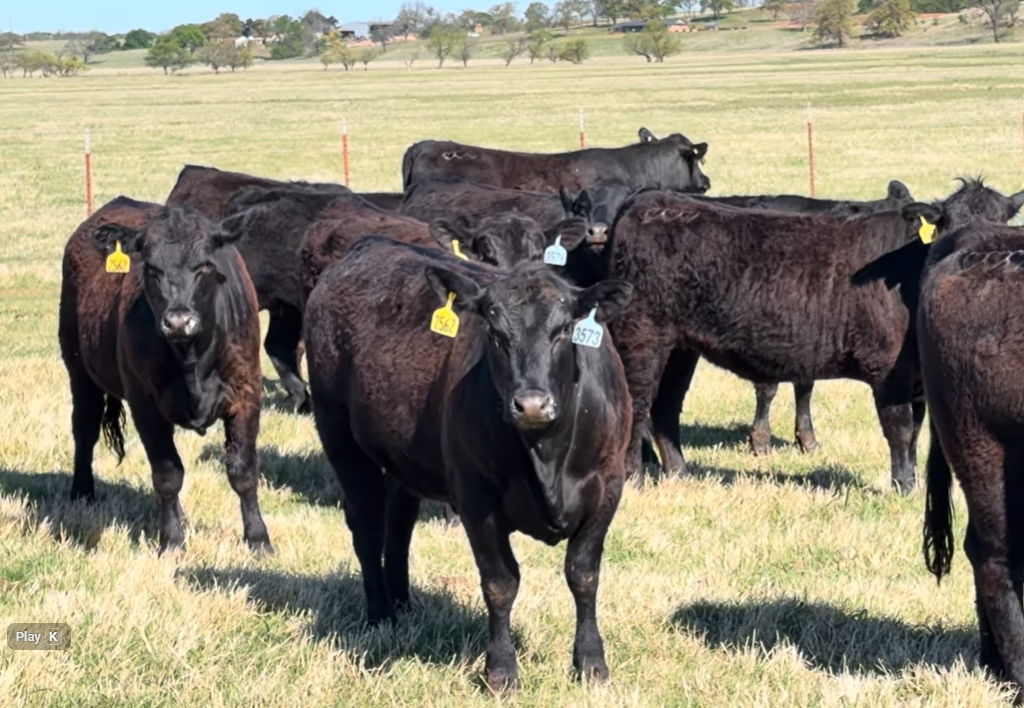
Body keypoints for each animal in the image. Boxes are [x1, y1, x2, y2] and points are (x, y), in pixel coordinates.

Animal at [58, 197, 271, 553]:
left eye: (204, 266)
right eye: (150, 268)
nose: (178, 321)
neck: (193, 358)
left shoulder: (246, 392)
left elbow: (242, 470)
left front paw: (258, 538)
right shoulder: (144, 403)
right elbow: (168, 474)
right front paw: (171, 540)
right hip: (79, 369)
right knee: (84, 430)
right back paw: (81, 493)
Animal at [304, 234, 633, 690]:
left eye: (565, 329)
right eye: (494, 333)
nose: (531, 404)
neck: (546, 454)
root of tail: (368, 245)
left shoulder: (608, 486)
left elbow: (583, 575)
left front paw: (591, 663)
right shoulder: (476, 498)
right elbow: (500, 583)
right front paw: (501, 671)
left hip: (402, 457)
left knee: (399, 523)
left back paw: (403, 603)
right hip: (338, 433)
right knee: (367, 525)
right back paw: (381, 613)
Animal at [608, 185, 1019, 494]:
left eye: (1001, 224)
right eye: (948, 225)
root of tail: (650, 200)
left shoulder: (916, 380)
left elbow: (915, 431)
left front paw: (913, 483)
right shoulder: (889, 371)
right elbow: (900, 430)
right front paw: (903, 487)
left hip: (680, 347)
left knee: (666, 406)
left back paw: (680, 473)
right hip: (641, 334)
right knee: (639, 404)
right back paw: (634, 479)